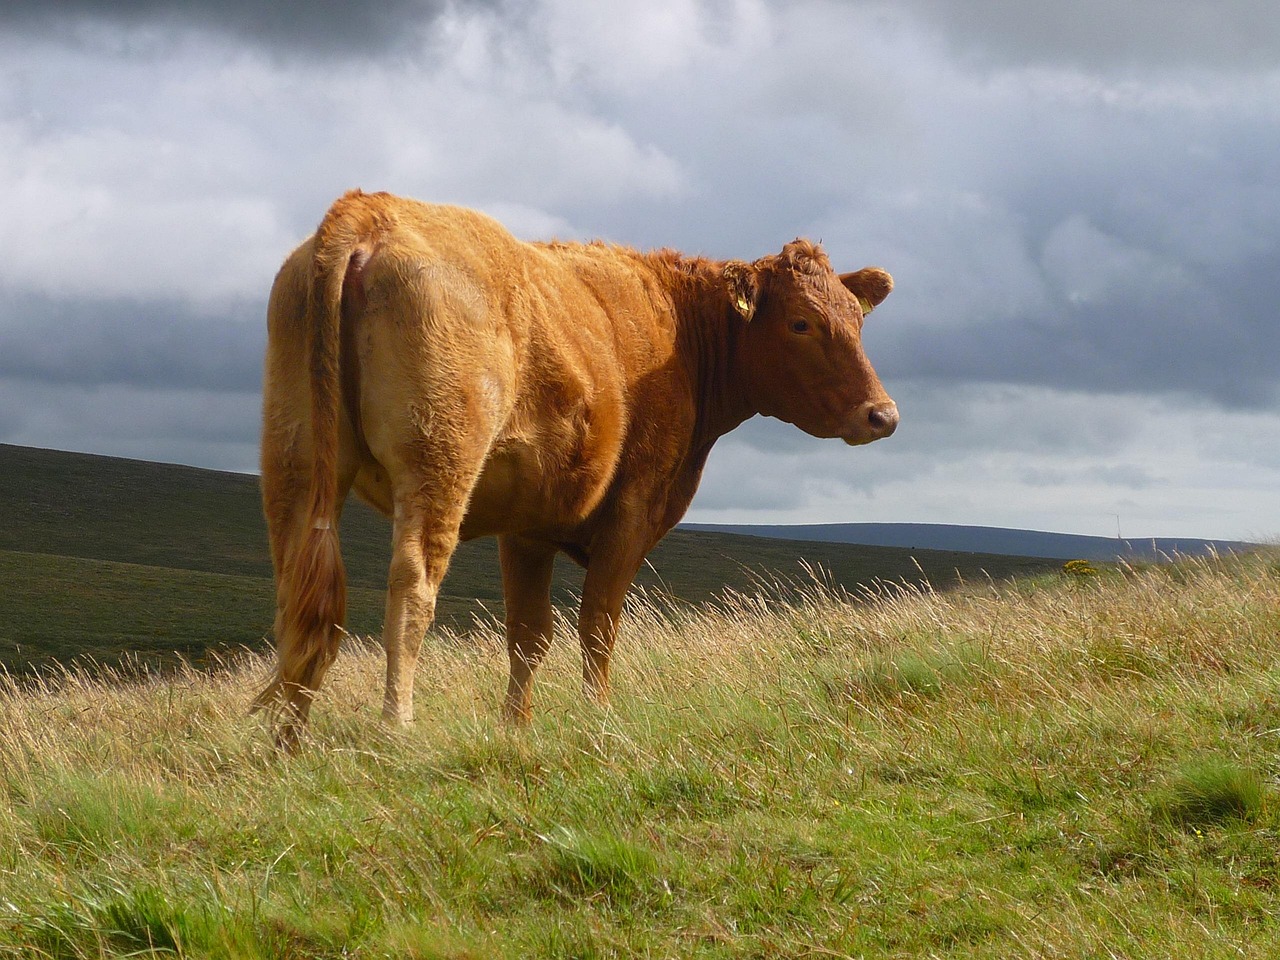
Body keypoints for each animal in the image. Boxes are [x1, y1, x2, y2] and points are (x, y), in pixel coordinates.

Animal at [252, 185, 901, 742]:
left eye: (857, 319)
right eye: (800, 323)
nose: (883, 415)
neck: (680, 334)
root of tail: (370, 208)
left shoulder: (528, 521)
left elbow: (529, 633)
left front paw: (515, 728)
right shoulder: (633, 508)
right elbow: (598, 624)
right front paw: (597, 718)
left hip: (296, 456)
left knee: (301, 587)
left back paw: (290, 739)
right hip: (438, 458)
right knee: (411, 584)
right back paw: (397, 725)